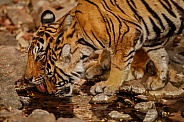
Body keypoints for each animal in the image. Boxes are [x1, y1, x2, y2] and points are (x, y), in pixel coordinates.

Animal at [25, 0, 184, 97]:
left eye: (40, 55)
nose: (27, 79)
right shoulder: (152, 34)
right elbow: (159, 55)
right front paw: (160, 80)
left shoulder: (128, 33)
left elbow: (119, 64)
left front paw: (109, 85)